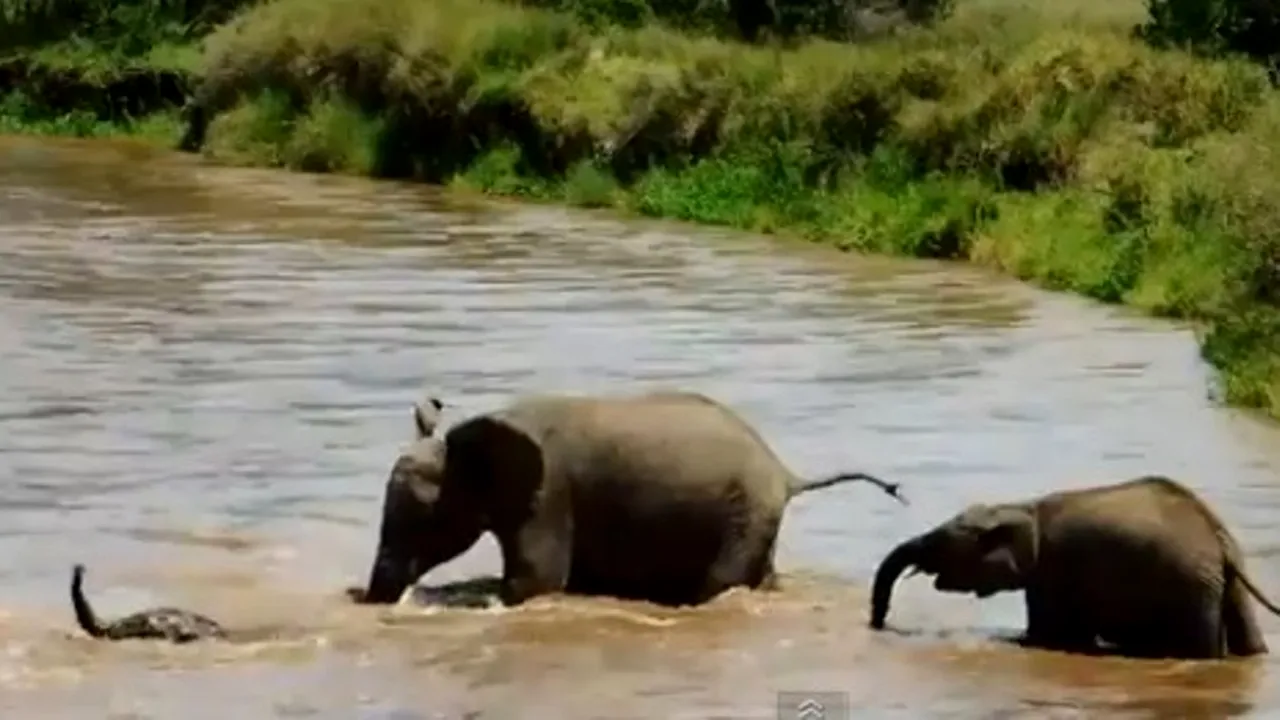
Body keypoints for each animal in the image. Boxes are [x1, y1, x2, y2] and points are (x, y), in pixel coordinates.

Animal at [348, 390, 906, 608]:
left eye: (422, 519)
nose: (366, 598)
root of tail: (786, 472)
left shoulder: (548, 496)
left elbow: (536, 582)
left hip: (746, 512)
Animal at [869, 475, 1280, 660]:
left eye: (939, 543)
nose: (878, 625)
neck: (1022, 507)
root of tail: (1217, 537)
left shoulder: (1052, 572)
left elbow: (1046, 637)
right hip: (1225, 583)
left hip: (1189, 589)